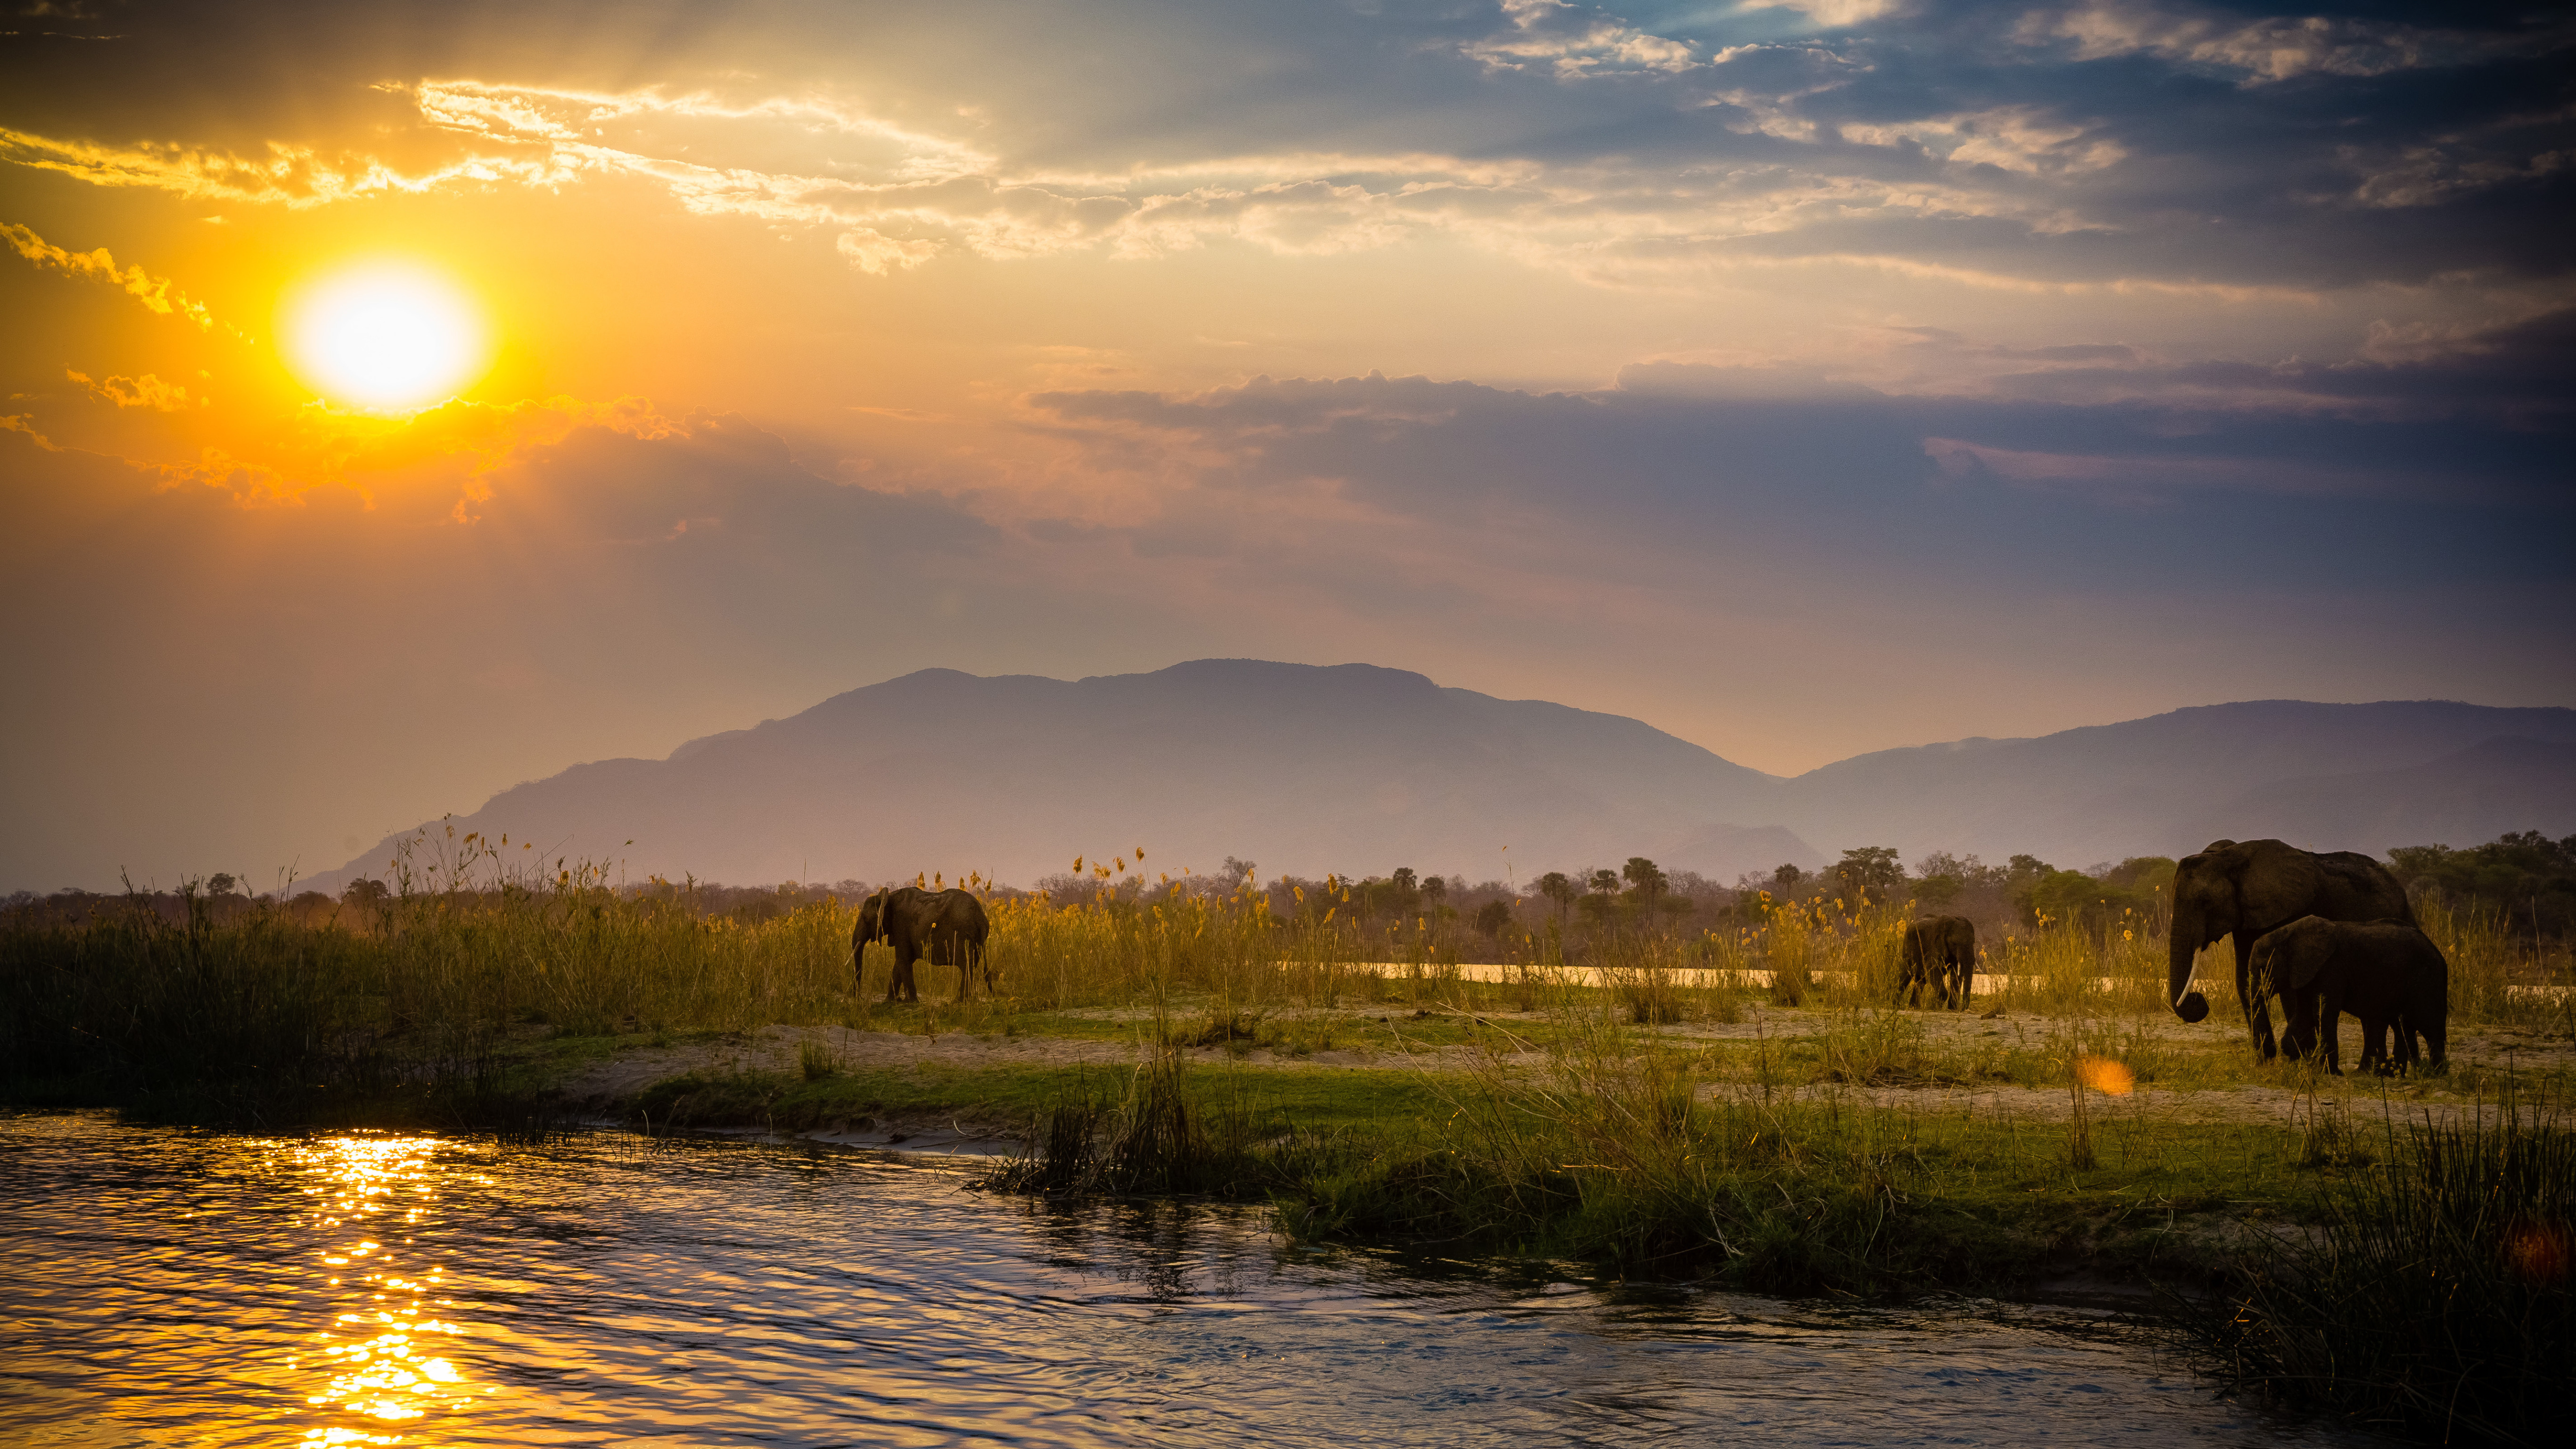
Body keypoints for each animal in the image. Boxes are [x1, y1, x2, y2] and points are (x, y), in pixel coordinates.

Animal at [855, 887, 994, 1000]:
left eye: (865, 919)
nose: (860, 997)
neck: (888, 897)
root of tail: (981, 916)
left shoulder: (901, 925)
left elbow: (903, 960)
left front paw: (911, 1002)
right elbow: (901, 963)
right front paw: (890, 1002)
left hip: (962, 935)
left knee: (966, 966)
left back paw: (958, 1002)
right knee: (970, 965)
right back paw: (969, 1001)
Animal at [1906, 913, 1978, 1005]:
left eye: (1973, 942)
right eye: (1955, 944)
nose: (1964, 1008)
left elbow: (1956, 975)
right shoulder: (1935, 945)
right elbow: (1931, 968)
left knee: (1921, 980)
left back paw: (1913, 1007)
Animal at [2174, 835, 2411, 1062]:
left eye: (2206, 901)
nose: (2198, 999)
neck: (2229, 859)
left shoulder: (2291, 911)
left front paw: (2300, 1056)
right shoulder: (2245, 916)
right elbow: (2247, 979)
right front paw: (2267, 1059)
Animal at [2246, 913, 2442, 1072]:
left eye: (2264, 969)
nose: (2270, 1058)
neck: (2288, 932)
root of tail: (2435, 948)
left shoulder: (2332, 967)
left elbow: (2324, 1012)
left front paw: (2328, 1072)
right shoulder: (2307, 971)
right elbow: (2305, 1014)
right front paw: (2295, 1055)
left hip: (2427, 978)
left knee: (2430, 1026)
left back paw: (2435, 1075)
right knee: (2403, 1027)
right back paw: (2395, 1074)